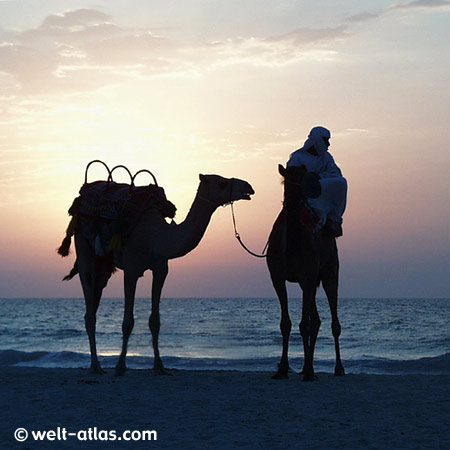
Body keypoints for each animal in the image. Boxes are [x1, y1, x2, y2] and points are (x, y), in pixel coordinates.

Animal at [61, 174, 255, 374]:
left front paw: (159, 366)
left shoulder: (161, 269)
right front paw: (120, 366)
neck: (156, 238)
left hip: (104, 265)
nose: (248, 187)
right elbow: (127, 322)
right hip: (82, 243)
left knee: (92, 304)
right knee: (89, 299)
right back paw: (95, 366)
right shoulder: (131, 270)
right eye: (221, 183)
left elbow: (155, 321)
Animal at [268, 163, 344, 382]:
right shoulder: (277, 277)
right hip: (308, 282)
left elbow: (305, 325)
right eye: (292, 178)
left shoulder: (308, 275)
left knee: (333, 321)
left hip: (330, 271)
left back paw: (338, 368)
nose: (314, 187)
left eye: (306, 174)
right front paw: (282, 370)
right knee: (316, 319)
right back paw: (304, 366)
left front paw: (310, 372)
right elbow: (286, 324)